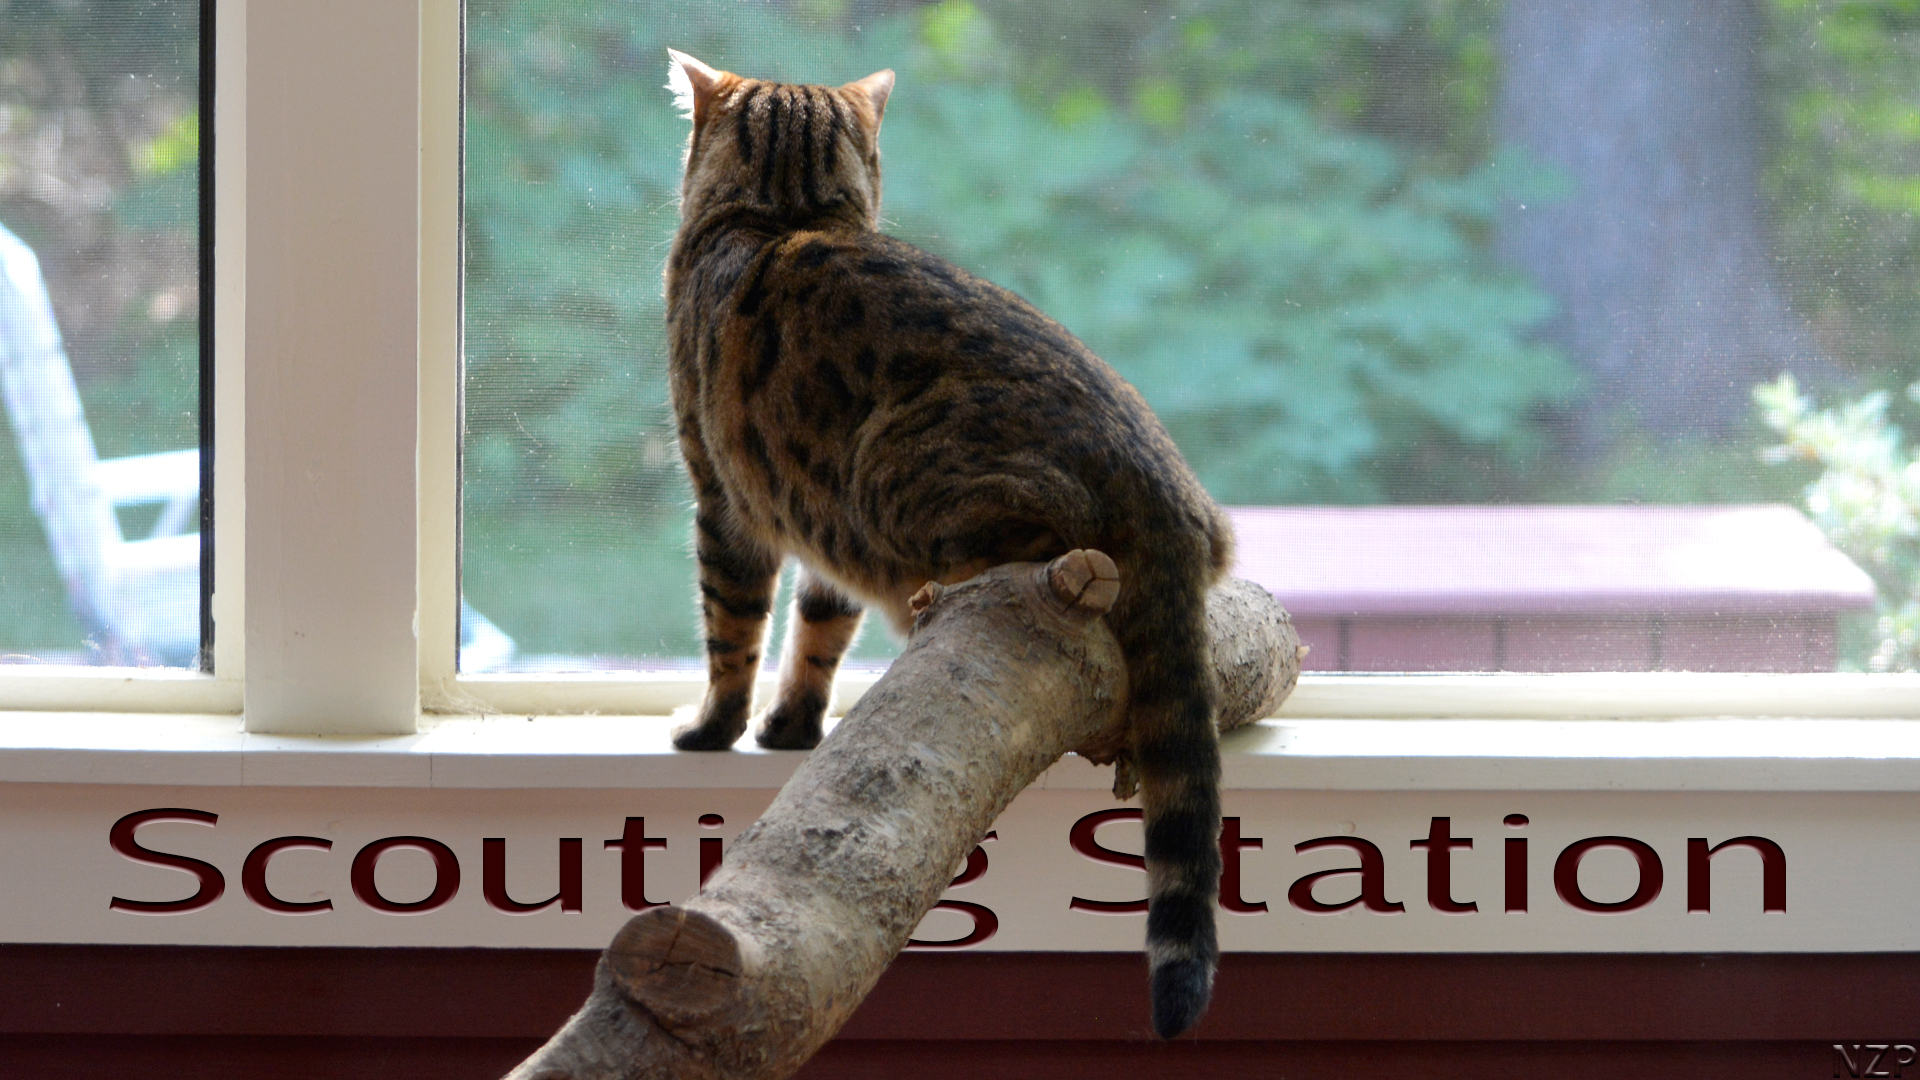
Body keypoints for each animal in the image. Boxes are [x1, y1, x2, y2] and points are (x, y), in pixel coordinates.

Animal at [660, 50, 1228, 1037]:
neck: (783, 215)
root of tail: (1161, 491)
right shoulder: (816, 522)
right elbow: (816, 634)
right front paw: (791, 727)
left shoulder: (725, 501)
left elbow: (732, 634)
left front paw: (715, 729)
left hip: (891, 476)